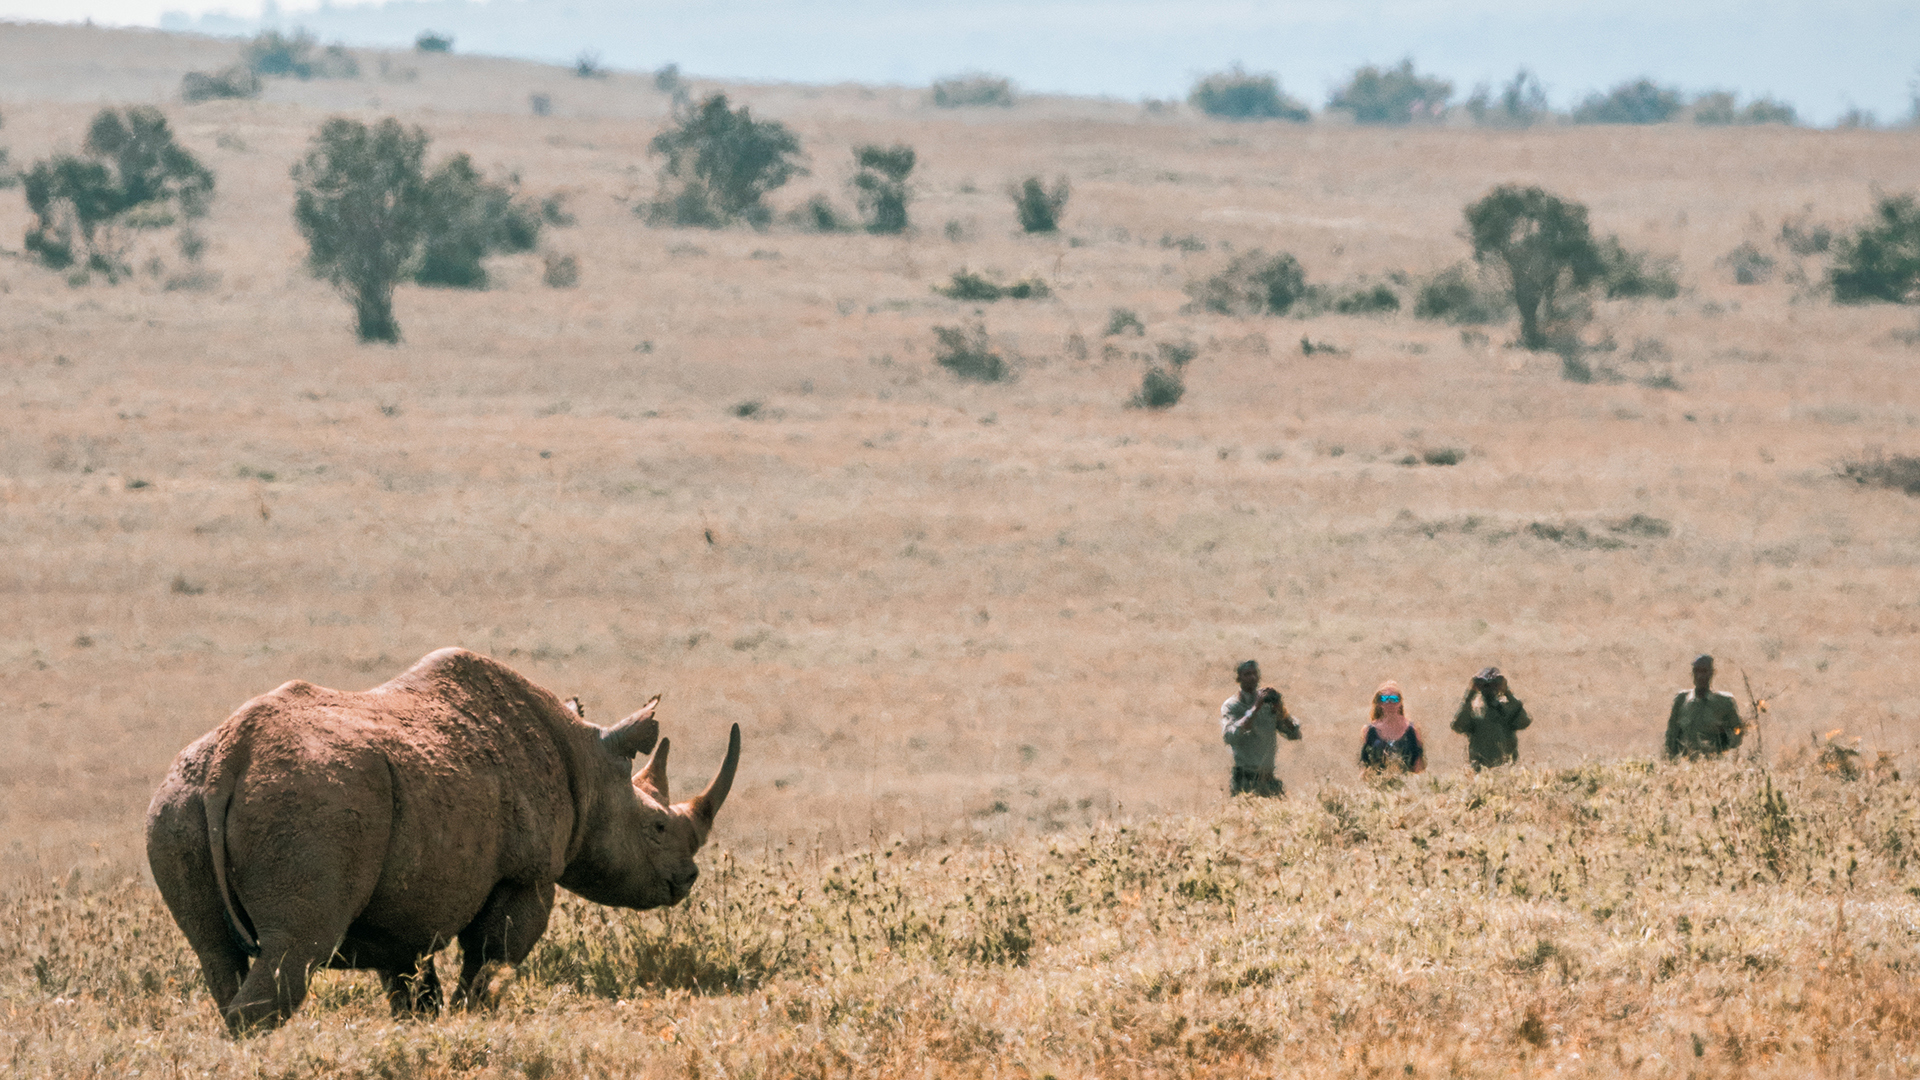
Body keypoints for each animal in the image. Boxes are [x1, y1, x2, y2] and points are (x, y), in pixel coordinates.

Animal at [145, 647, 739, 1034]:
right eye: (657, 827)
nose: (687, 879)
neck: (588, 765)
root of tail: (232, 755)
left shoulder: (402, 902)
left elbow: (411, 985)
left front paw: (422, 1034)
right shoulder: (526, 874)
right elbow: (491, 961)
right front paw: (473, 1019)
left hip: (178, 804)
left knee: (215, 953)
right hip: (307, 803)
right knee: (297, 948)